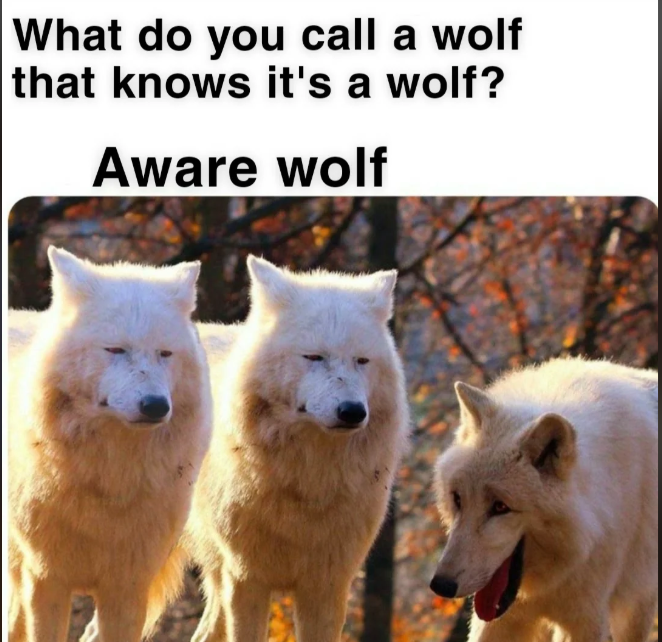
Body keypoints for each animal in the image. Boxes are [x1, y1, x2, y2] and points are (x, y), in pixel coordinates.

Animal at [8, 247, 212, 642]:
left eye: (165, 354)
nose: (155, 406)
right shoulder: (45, 580)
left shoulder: (128, 588)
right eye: (115, 349)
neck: (110, 479)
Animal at [184, 256, 410, 642]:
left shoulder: (328, 586)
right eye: (314, 357)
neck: (309, 482)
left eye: (362, 361)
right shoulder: (246, 578)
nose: (353, 411)